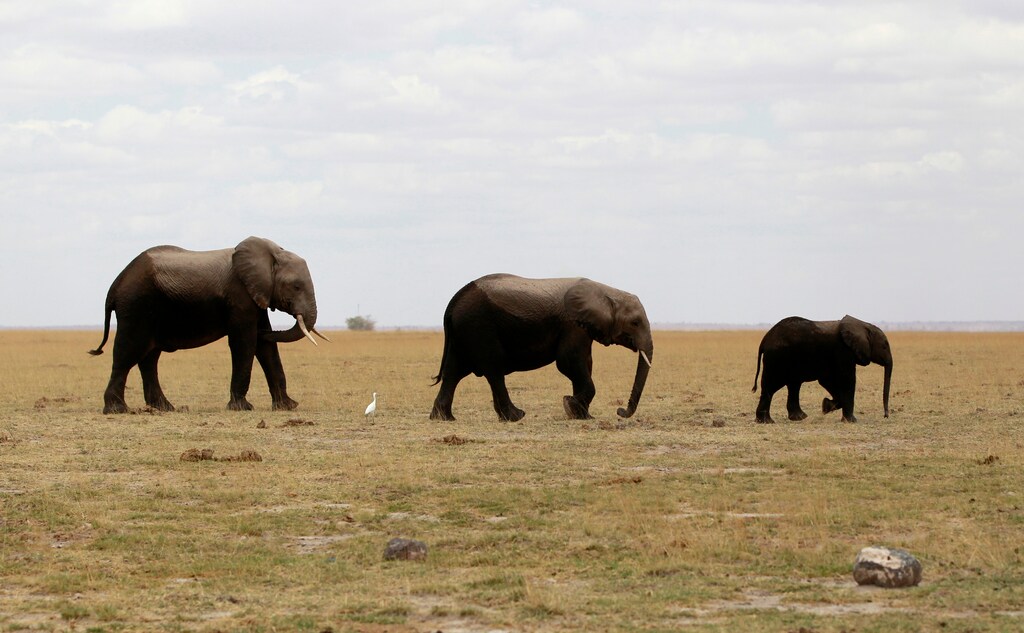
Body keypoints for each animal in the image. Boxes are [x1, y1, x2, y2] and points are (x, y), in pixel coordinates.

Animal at [89, 236, 328, 414]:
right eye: (296, 287)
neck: (271, 254)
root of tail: (115, 285)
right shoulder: (240, 296)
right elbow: (244, 342)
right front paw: (242, 408)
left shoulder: (258, 295)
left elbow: (266, 348)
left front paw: (287, 406)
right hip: (136, 306)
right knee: (127, 354)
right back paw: (117, 410)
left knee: (149, 358)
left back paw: (165, 408)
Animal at [429, 274, 654, 422]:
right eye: (635, 322)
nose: (620, 412)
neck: (607, 292)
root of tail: (452, 302)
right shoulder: (572, 324)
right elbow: (569, 362)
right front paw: (570, 406)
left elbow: (584, 364)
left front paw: (583, 416)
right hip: (478, 327)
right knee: (493, 370)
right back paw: (516, 417)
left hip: (463, 333)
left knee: (453, 373)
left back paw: (443, 418)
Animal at [752, 315, 892, 423]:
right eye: (885, 346)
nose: (885, 416)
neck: (863, 325)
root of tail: (765, 339)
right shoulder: (843, 351)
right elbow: (847, 380)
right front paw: (851, 421)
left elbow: (828, 381)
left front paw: (826, 407)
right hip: (777, 359)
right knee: (770, 386)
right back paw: (766, 421)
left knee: (793, 386)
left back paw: (798, 418)